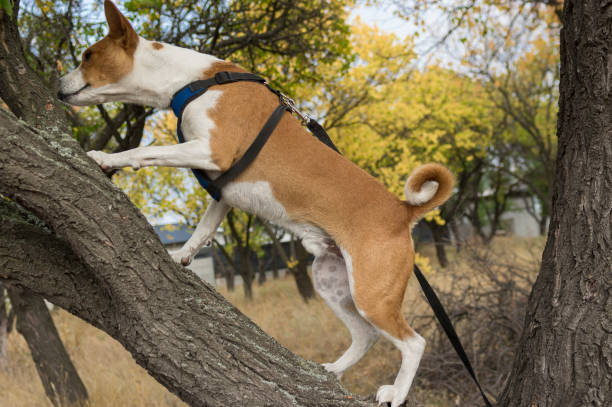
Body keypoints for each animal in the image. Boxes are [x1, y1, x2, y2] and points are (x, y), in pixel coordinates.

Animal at [58, 1, 454, 406]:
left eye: (88, 56)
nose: (58, 87)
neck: (191, 81)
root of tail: (403, 211)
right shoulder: (221, 190)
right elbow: (204, 229)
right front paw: (181, 256)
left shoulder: (211, 150)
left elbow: (145, 152)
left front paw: (106, 158)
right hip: (331, 280)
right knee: (366, 334)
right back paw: (332, 370)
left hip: (371, 293)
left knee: (414, 343)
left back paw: (396, 392)